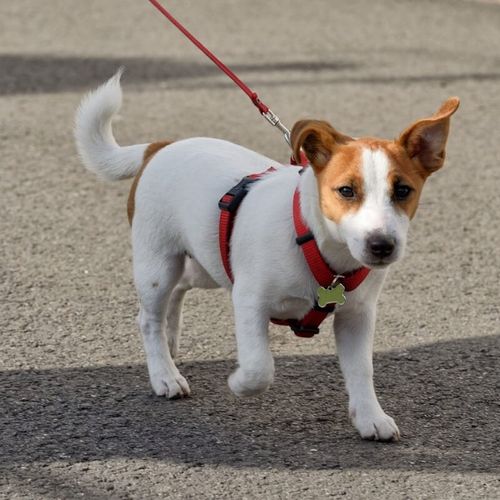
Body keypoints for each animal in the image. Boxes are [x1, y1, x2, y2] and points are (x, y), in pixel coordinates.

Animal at [73, 71, 458, 442]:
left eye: (403, 190)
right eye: (346, 190)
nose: (382, 245)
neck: (316, 243)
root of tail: (160, 147)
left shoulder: (357, 316)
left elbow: (362, 369)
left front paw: (370, 417)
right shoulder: (248, 301)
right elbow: (260, 367)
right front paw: (239, 382)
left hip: (208, 260)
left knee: (180, 288)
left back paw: (170, 342)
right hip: (158, 264)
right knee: (148, 317)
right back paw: (164, 374)